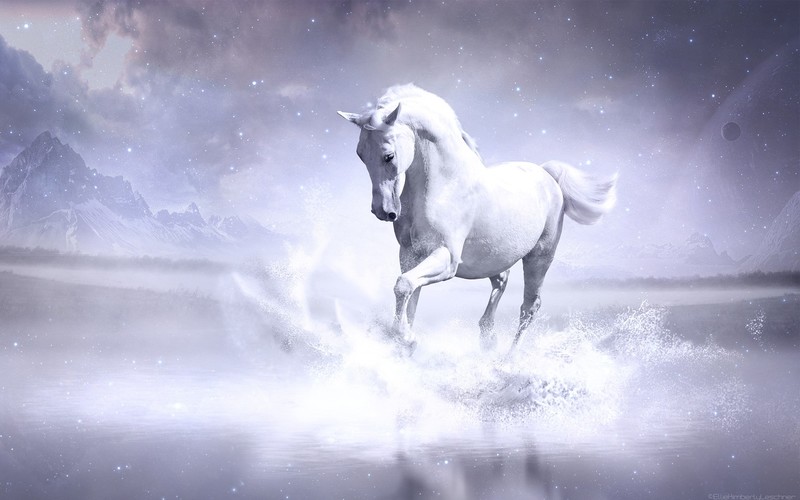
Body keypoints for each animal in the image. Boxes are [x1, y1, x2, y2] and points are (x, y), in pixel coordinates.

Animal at [338, 84, 616, 351]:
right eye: (360, 154)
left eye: (389, 156)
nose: (383, 211)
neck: (445, 185)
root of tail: (547, 174)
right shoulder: (410, 255)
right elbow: (410, 296)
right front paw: (403, 342)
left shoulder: (447, 258)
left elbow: (404, 285)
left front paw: (406, 338)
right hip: (495, 257)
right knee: (502, 282)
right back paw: (487, 338)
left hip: (539, 257)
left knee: (529, 307)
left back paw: (507, 359)